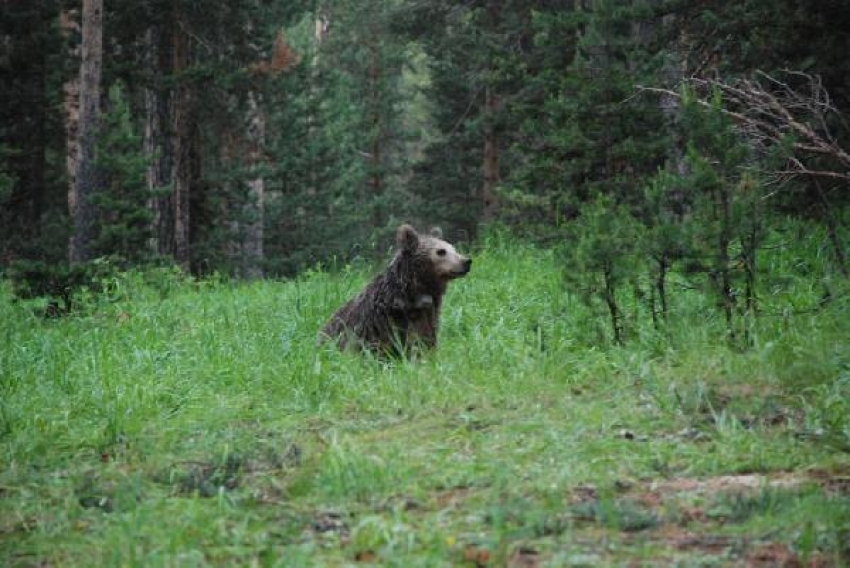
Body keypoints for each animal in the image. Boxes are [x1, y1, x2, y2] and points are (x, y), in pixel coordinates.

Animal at [318, 223, 470, 352]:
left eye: (453, 248)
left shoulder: (428, 314)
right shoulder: (384, 321)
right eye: (441, 252)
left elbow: (425, 341)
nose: (466, 261)